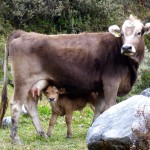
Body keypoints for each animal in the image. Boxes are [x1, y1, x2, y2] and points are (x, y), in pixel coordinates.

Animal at [0, 15, 150, 144]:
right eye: (122, 34)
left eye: (139, 33)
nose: (126, 47)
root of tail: (23, 33)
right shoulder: (111, 82)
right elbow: (110, 106)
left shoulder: (101, 87)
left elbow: (99, 109)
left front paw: (94, 128)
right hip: (23, 81)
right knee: (16, 105)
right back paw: (16, 139)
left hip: (36, 84)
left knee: (30, 106)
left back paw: (43, 134)